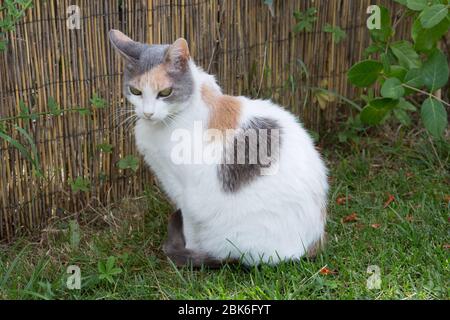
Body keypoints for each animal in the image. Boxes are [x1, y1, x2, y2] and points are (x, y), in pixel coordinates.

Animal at [109, 30, 326, 266]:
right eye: (135, 91)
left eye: (165, 92)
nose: (148, 113)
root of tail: (311, 246)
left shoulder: (186, 193)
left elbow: (190, 227)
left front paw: (190, 250)